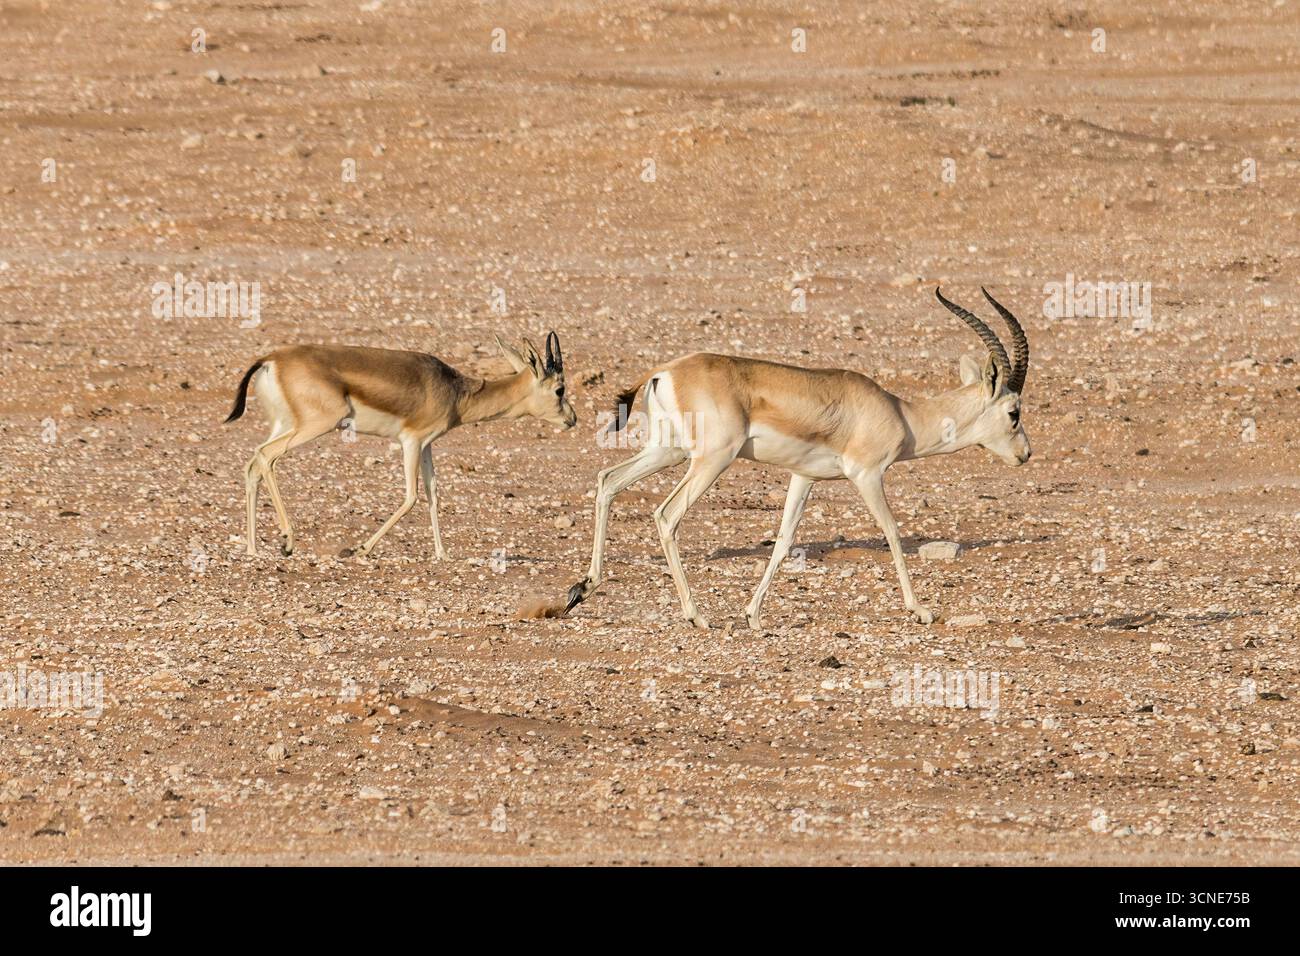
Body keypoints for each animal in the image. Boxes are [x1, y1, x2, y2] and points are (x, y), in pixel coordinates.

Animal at [225, 332, 576, 559]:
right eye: (560, 390)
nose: (572, 419)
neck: (456, 392)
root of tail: (272, 359)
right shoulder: (411, 440)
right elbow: (411, 497)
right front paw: (361, 549)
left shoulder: (428, 445)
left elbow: (434, 494)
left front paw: (442, 553)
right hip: (315, 425)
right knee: (266, 456)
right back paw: (286, 541)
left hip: (284, 424)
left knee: (252, 463)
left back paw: (253, 548)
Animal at [561, 288, 1030, 628]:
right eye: (1014, 412)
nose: (1025, 454)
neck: (901, 414)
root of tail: (665, 371)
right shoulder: (867, 475)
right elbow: (894, 533)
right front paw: (922, 610)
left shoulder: (803, 477)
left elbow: (784, 540)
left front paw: (751, 615)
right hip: (711, 460)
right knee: (665, 515)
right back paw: (696, 616)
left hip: (668, 451)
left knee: (608, 480)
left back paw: (582, 589)